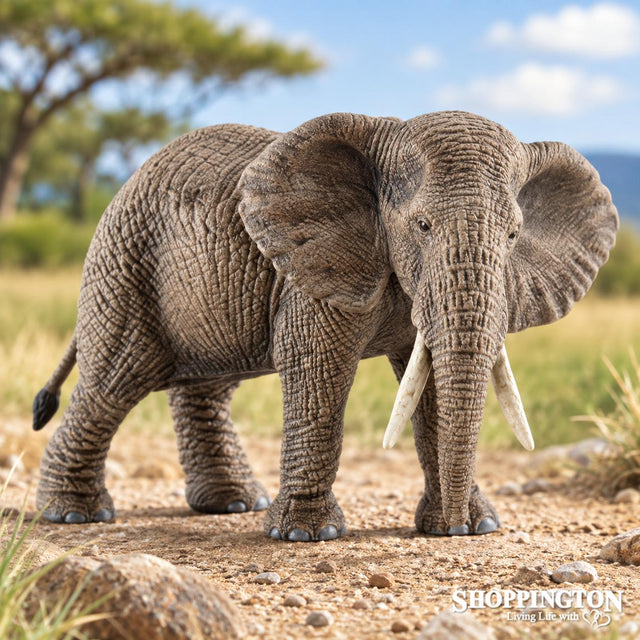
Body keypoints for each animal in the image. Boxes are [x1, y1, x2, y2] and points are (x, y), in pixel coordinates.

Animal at [32, 110, 618, 540]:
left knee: (204, 388)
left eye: (515, 234)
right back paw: (73, 515)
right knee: (115, 382)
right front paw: (304, 536)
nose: (456, 529)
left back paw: (232, 505)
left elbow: (427, 384)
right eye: (422, 225)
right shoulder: (315, 269)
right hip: (126, 265)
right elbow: (318, 369)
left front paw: (470, 527)